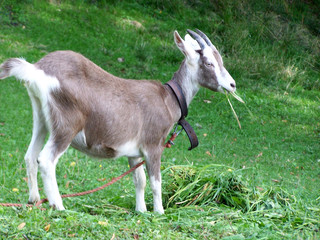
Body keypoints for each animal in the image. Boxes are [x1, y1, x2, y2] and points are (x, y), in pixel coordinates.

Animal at [0, 29, 235, 213]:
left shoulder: (134, 152)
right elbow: (155, 182)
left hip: (41, 117)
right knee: (46, 159)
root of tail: (36, 69)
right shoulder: (153, 145)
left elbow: (139, 180)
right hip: (67, 124)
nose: (232, 85)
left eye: (220, 60)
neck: (169, 98)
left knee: (30, 155)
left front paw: (141, 211)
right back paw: (58, 205)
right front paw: (159, 212)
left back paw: (34, 200)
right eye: (209, 63)